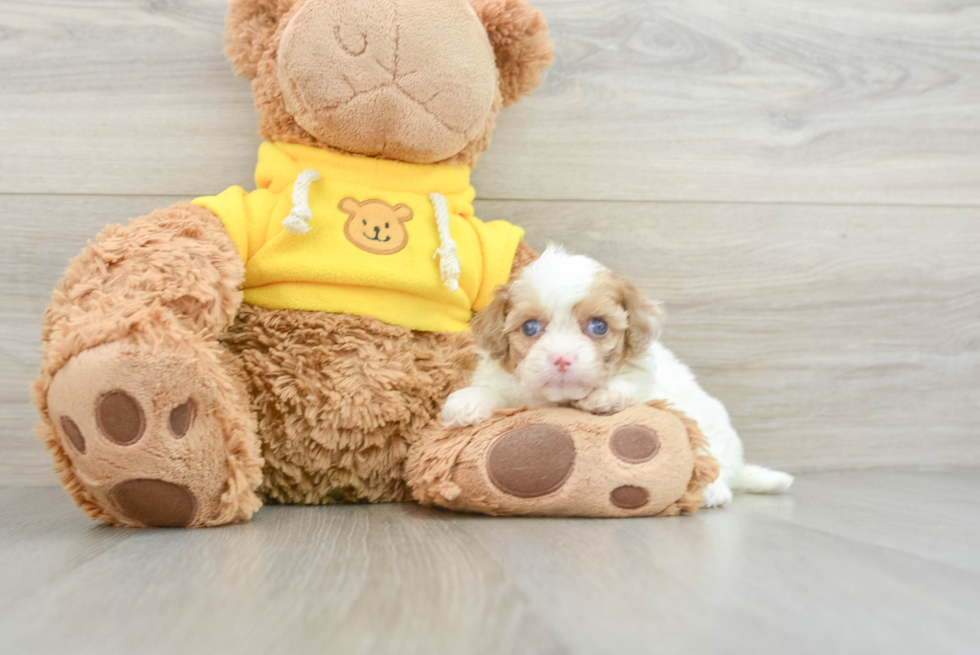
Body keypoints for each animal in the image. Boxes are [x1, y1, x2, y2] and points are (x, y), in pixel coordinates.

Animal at [444, 246, 796, 508]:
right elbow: (490, 390)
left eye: (599, 326)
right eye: (530, 327)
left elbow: (631, 385)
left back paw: (713, 490)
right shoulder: (506, 381)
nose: (562, 358)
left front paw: (606, 394)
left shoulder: (650, 382)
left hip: (712, 430)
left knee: (715, 464)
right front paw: (464, 405)